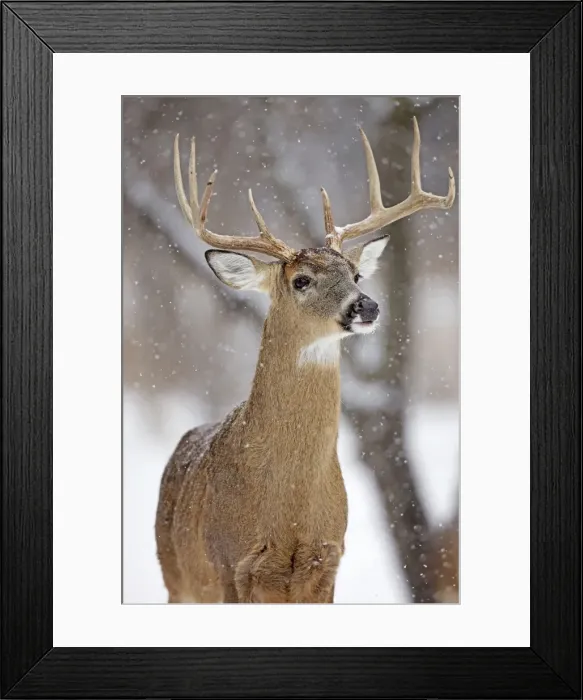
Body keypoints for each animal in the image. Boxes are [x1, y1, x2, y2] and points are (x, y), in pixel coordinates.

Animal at [155, 118, 455, 603]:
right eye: (301, 280)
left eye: (355, 274)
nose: (367, 305)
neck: (290, 507)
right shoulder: (229, 564)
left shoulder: (327, 561)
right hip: (177, 577)